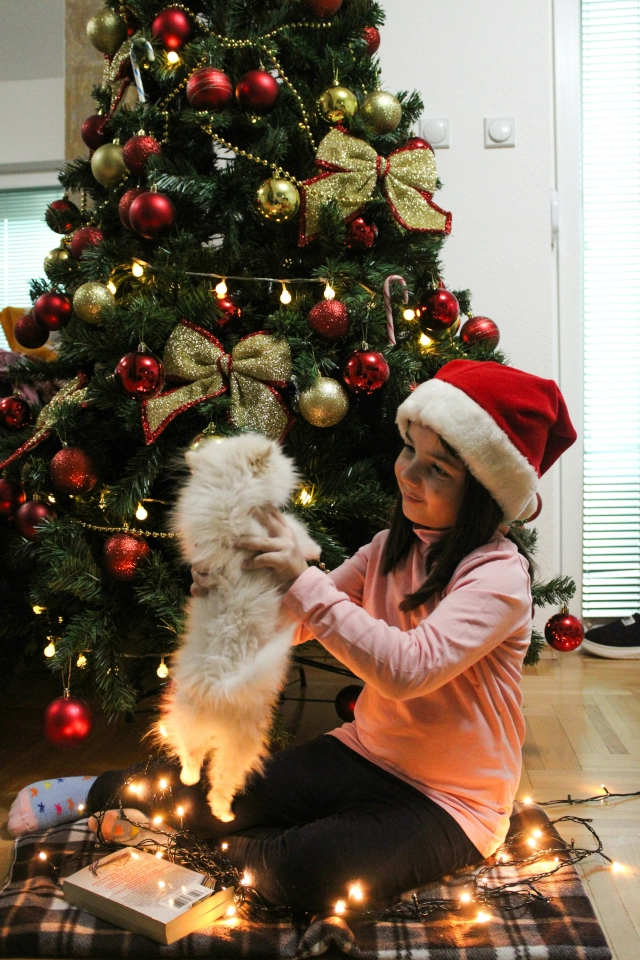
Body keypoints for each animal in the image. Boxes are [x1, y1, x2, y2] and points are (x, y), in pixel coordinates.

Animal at [155, 432, 320, 820]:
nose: (282, 450)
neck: (227, 490)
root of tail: (217, 685)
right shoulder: (273, 533)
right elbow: (297, 531)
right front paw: (314, 549)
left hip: (187, 714)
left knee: (189, 751)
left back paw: (188, 777)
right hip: (245, 740)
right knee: (223, 779)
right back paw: (223, 811)